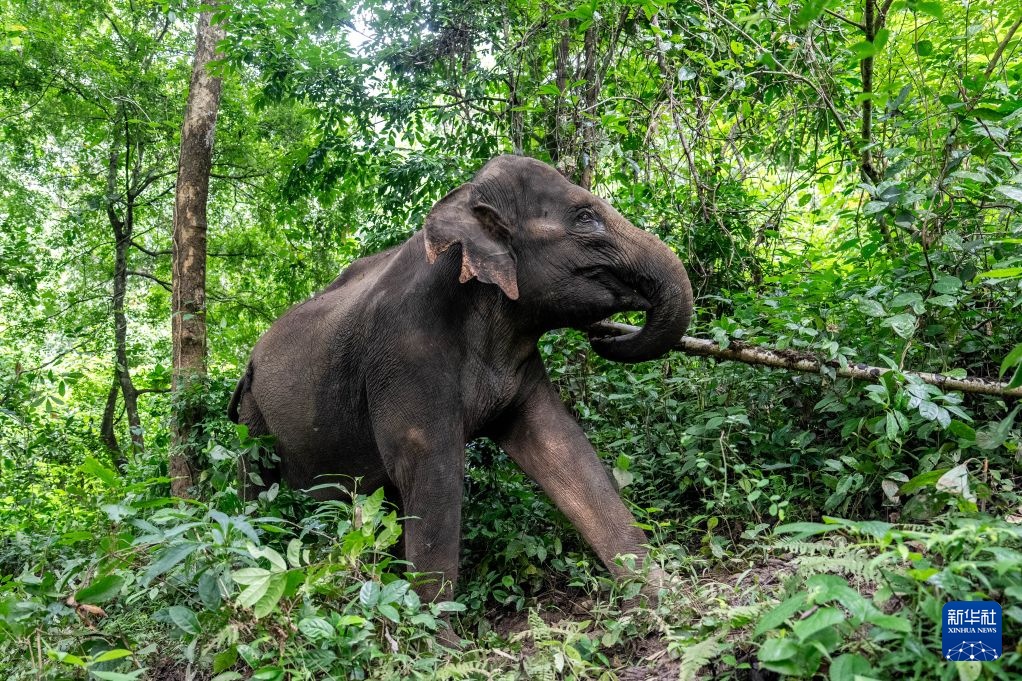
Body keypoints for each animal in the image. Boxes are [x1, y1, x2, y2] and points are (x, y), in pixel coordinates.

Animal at [228, 155, 693, 604]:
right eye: (585, 217)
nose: (604, 335)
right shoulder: (404, 356)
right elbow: (431, 471)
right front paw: (436, 626)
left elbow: (561, 445)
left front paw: (659, 601)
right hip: (253, 419)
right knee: (259, 488)